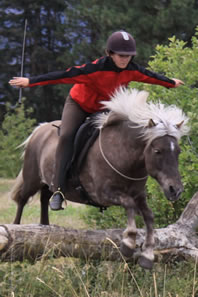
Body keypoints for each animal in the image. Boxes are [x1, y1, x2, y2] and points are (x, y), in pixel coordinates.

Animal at [10, 87, 189, 268]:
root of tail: (39, 129)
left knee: (45, 198)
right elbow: (129, 205)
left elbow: (149, 216)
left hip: (47, 183)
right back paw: (15, 230)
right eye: (157, 151)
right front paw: (128, 243)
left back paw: (44, 229)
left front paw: (147, 255)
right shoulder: (103, 194)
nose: (175, 190)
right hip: (32, 178)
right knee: (22, 199)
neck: (123, 154)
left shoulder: (139, 196)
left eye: (178, 151)